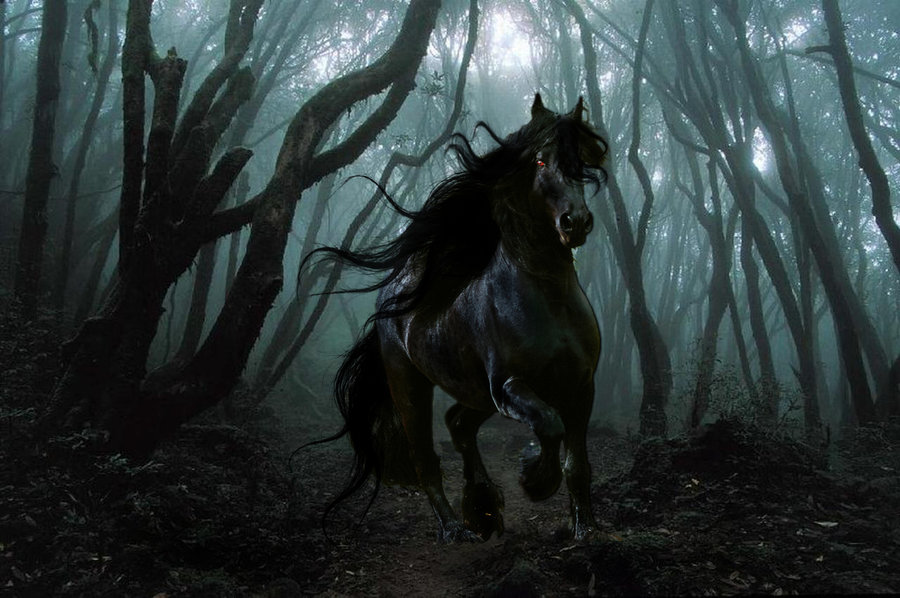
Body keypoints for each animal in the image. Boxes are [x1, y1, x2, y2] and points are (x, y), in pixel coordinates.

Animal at [309, 94, 608, 542]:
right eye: (540, 160)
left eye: (583, 163)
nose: (576, 222)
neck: (549, 297)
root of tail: (393, 294)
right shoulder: (509, 386)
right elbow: (548, 426)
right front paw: (534, 477)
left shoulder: (580, 385)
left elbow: (578, 464)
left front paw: (587, 529)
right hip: (412, 387)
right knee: (426, 458)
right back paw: (454, 527)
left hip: (474, 392)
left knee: (459, 425)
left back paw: (482, 507)